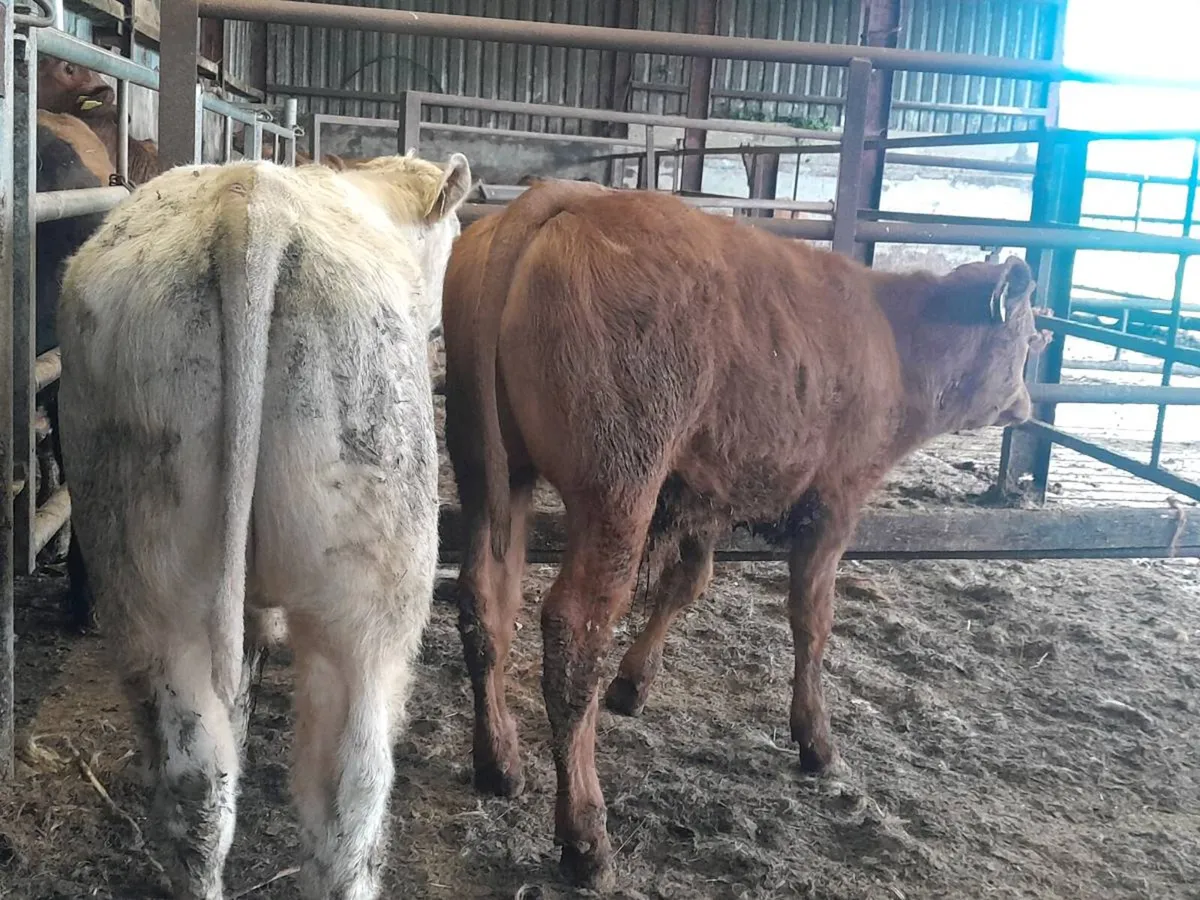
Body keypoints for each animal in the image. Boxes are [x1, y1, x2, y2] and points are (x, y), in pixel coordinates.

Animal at [441, 181, 1051, 890]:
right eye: (1028, 337)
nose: (1027, 406)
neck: (896, 339)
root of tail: (562, 199)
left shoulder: (706, 496)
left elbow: (688, 583)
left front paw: (634, 685)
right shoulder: (834, 503)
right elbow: (812, 620)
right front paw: (817, 741)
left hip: (490, 473)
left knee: (486, 602)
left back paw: (500, 762)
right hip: (617, 491)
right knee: (573, 634)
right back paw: (586, 837)